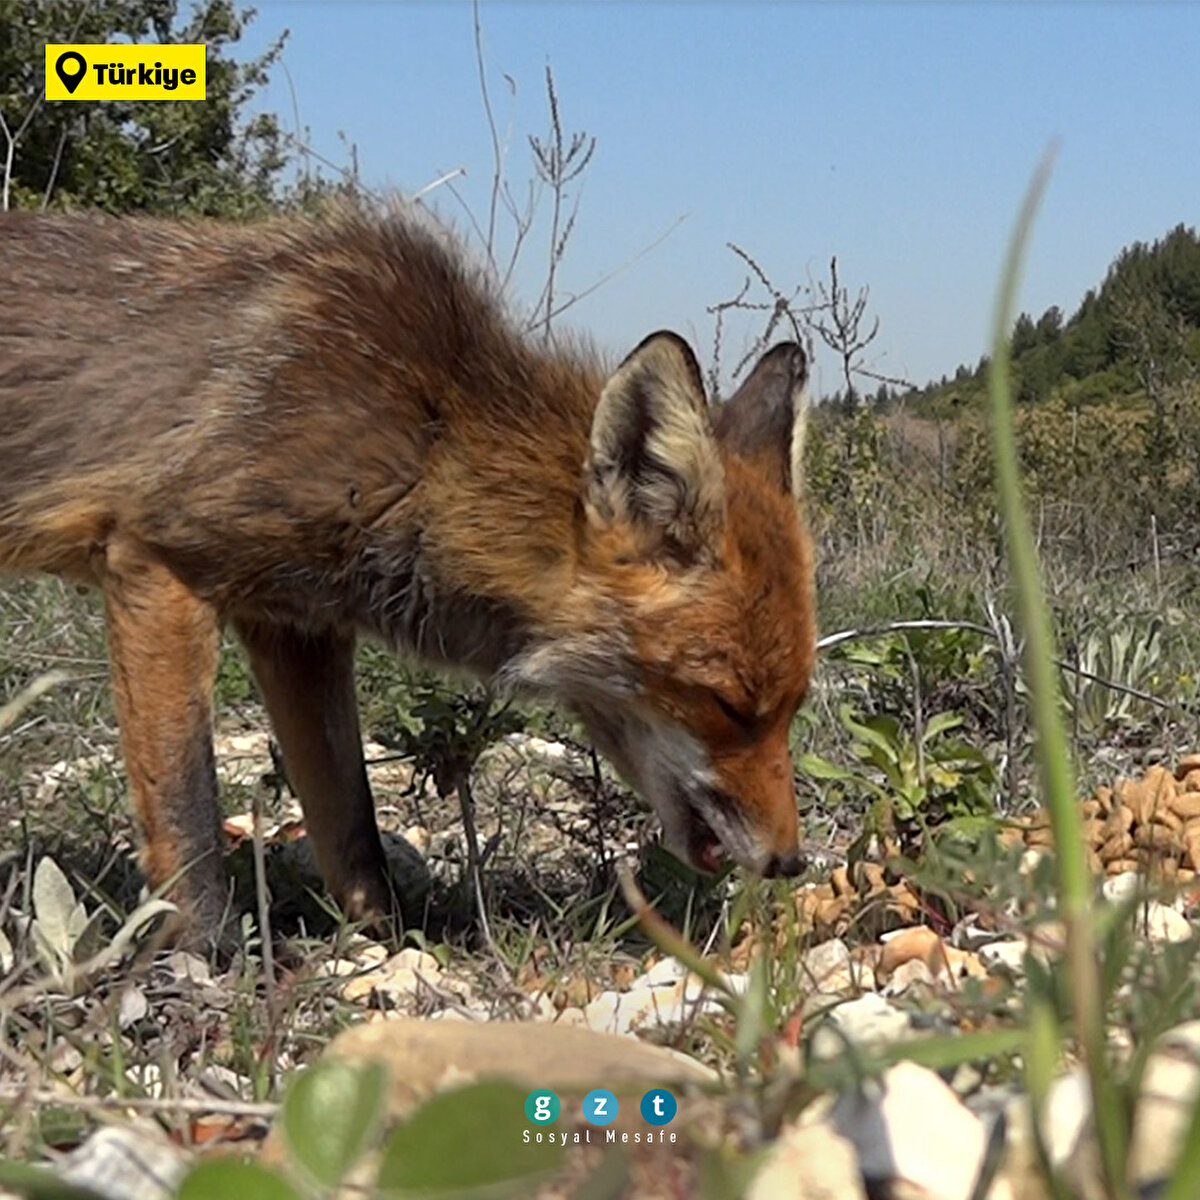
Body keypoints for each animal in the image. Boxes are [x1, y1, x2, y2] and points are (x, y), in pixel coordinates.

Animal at [0, 204, 816, 947]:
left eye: (790, 707)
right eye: (728, 705)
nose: (791, 862)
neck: (425, 441)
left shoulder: (298, 626)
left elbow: (351, 822)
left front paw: (386, 939)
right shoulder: (158, 564)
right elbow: (188, 815)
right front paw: (206, 961)